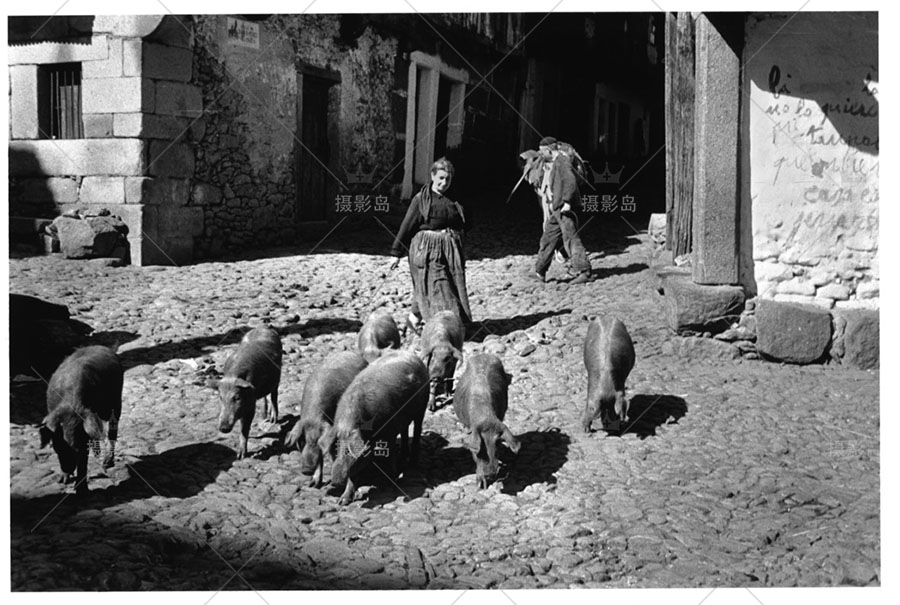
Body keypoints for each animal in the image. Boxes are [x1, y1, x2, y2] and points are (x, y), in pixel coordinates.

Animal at [40, 344, 124, 496]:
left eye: (76, 447)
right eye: (57, 447)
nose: (68, 467)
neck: (70, 404)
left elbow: (84, 461)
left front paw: (82, 492)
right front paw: (62, 481)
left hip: (116, 402)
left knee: (113, 430)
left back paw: (107, 463)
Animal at [214, 326, 282, 458]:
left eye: (237, 397)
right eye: (220, 397)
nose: (223, 428)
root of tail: (265, 327)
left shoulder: (251, 405)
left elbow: (244, 428)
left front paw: (241, 456)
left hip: (278, 376)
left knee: (274, 395)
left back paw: (273, 420)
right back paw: (264, 416)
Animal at [316, 350, 428, 504]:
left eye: (348, 451)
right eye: (334, 450)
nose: (335, 481)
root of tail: (414, 355)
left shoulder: (389, 432)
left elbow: (390, 457)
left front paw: (391, 483)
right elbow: (354, 474)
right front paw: (343, 502)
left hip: (422, 406)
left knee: (417, 429)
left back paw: (411, 463)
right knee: (405, 432)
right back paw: (403, 458)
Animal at [450, 352, 520, 488]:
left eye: (498, 442)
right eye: (481, 445)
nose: (491, 473)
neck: (485, 416)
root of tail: (484, 354)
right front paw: (480, 485)